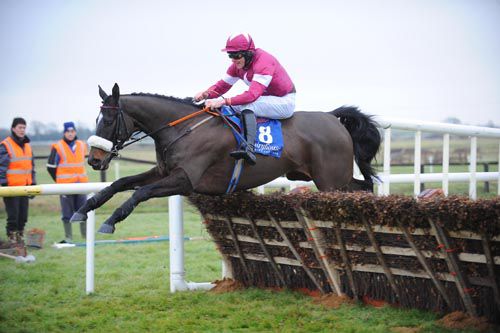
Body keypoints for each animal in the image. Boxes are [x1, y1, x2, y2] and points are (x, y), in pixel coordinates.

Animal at [70, 83, 380, 233]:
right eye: (97, 119)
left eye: (109, 120)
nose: (94, 160)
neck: (181, 129)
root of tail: (331, 117)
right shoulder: (163, 172)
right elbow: (120, 184)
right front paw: (84, 209)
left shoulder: (185, 179)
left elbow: (140, 192)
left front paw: (111, 221)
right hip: (325, 177)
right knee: (364, 187)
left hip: (330, 179)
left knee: (360, 190)